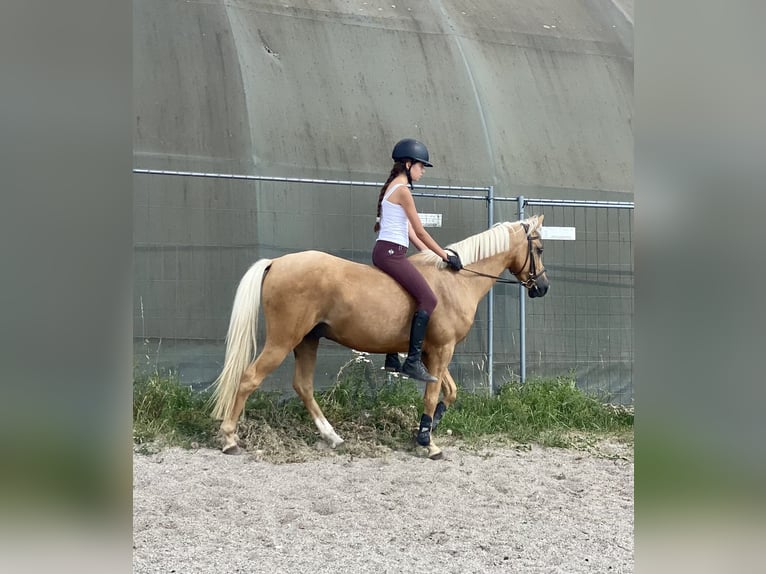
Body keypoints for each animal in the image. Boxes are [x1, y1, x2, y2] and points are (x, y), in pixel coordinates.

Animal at [211, 214, 549, 459]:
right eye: (539, 249)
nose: (543, 287)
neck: (456, 279)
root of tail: (276, 263)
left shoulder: (432, 353)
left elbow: (449, 392)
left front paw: (426, 430)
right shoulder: (442, 349)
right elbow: (432, 395)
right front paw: (428, 442)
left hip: (307, 340)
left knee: (303, 386)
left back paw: (333, 437)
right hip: (283, 340)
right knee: (249, 378)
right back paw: (229, 439)